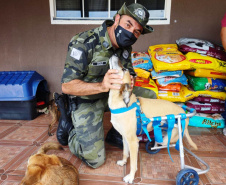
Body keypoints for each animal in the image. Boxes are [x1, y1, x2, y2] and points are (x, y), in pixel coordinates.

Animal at [108, 54, 197, 184]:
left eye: (124, 69)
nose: (114, 54)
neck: (121, 102)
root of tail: (182, 111)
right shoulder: (124, 137)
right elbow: (125, 153)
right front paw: (124, 162)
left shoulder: (133, 142)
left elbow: (133, 164)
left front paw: (131, 177)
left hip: (172, 135)